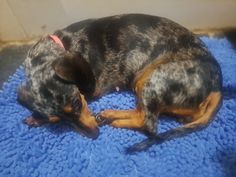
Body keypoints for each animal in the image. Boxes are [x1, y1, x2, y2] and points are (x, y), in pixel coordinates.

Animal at [17, 13, 222, 151]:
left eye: (76, 103)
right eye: (57, 120)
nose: (94, 135)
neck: (62, 44)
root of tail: (218, 84)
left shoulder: (91, 89)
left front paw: (35, 118)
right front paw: (36, 117)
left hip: (153, 80)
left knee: (147, 123)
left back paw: (113, 118)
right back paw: (108, 115)